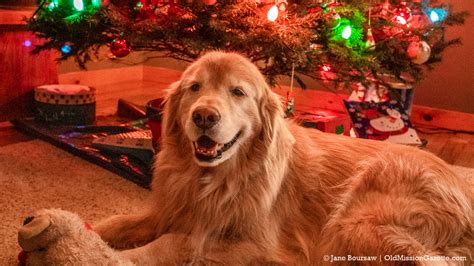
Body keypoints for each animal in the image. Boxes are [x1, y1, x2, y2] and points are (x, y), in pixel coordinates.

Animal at [94, 51, 472, 264]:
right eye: (194, 88)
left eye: (238, 92)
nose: (204, 116)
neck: (214, 179)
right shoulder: (171, 209)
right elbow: (122, 221)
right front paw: (94, 230)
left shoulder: (255, 245)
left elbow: (173, 244)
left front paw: (118, 255)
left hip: (354, 222)